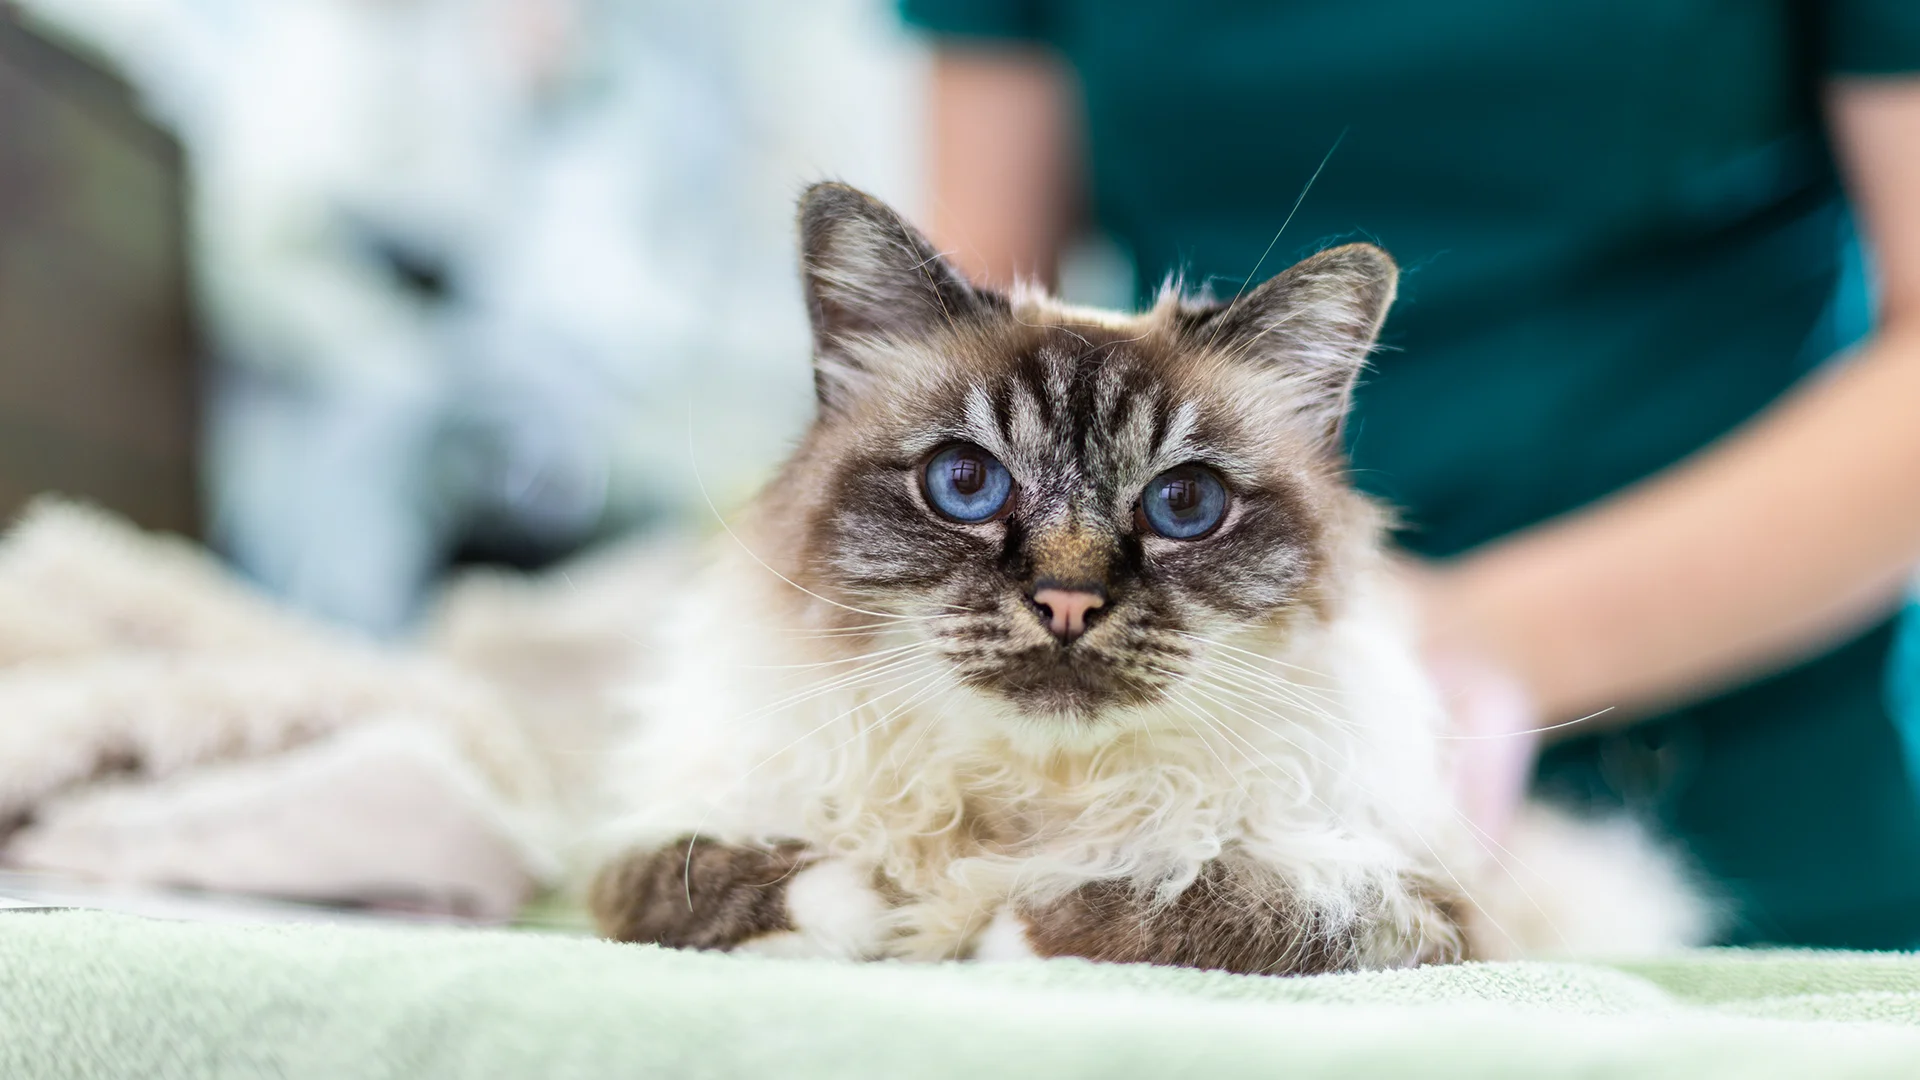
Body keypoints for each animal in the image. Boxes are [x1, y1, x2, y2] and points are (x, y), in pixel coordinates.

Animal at [587, 182, 1712, 968]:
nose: (1068, 599)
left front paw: (1000, 922)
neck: (1030, 801)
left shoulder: (1424, 906)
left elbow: (1209, 896)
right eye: (966, 484)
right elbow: (741, 882)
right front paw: (895, 911)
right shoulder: (662, 843)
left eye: (1184, 506)